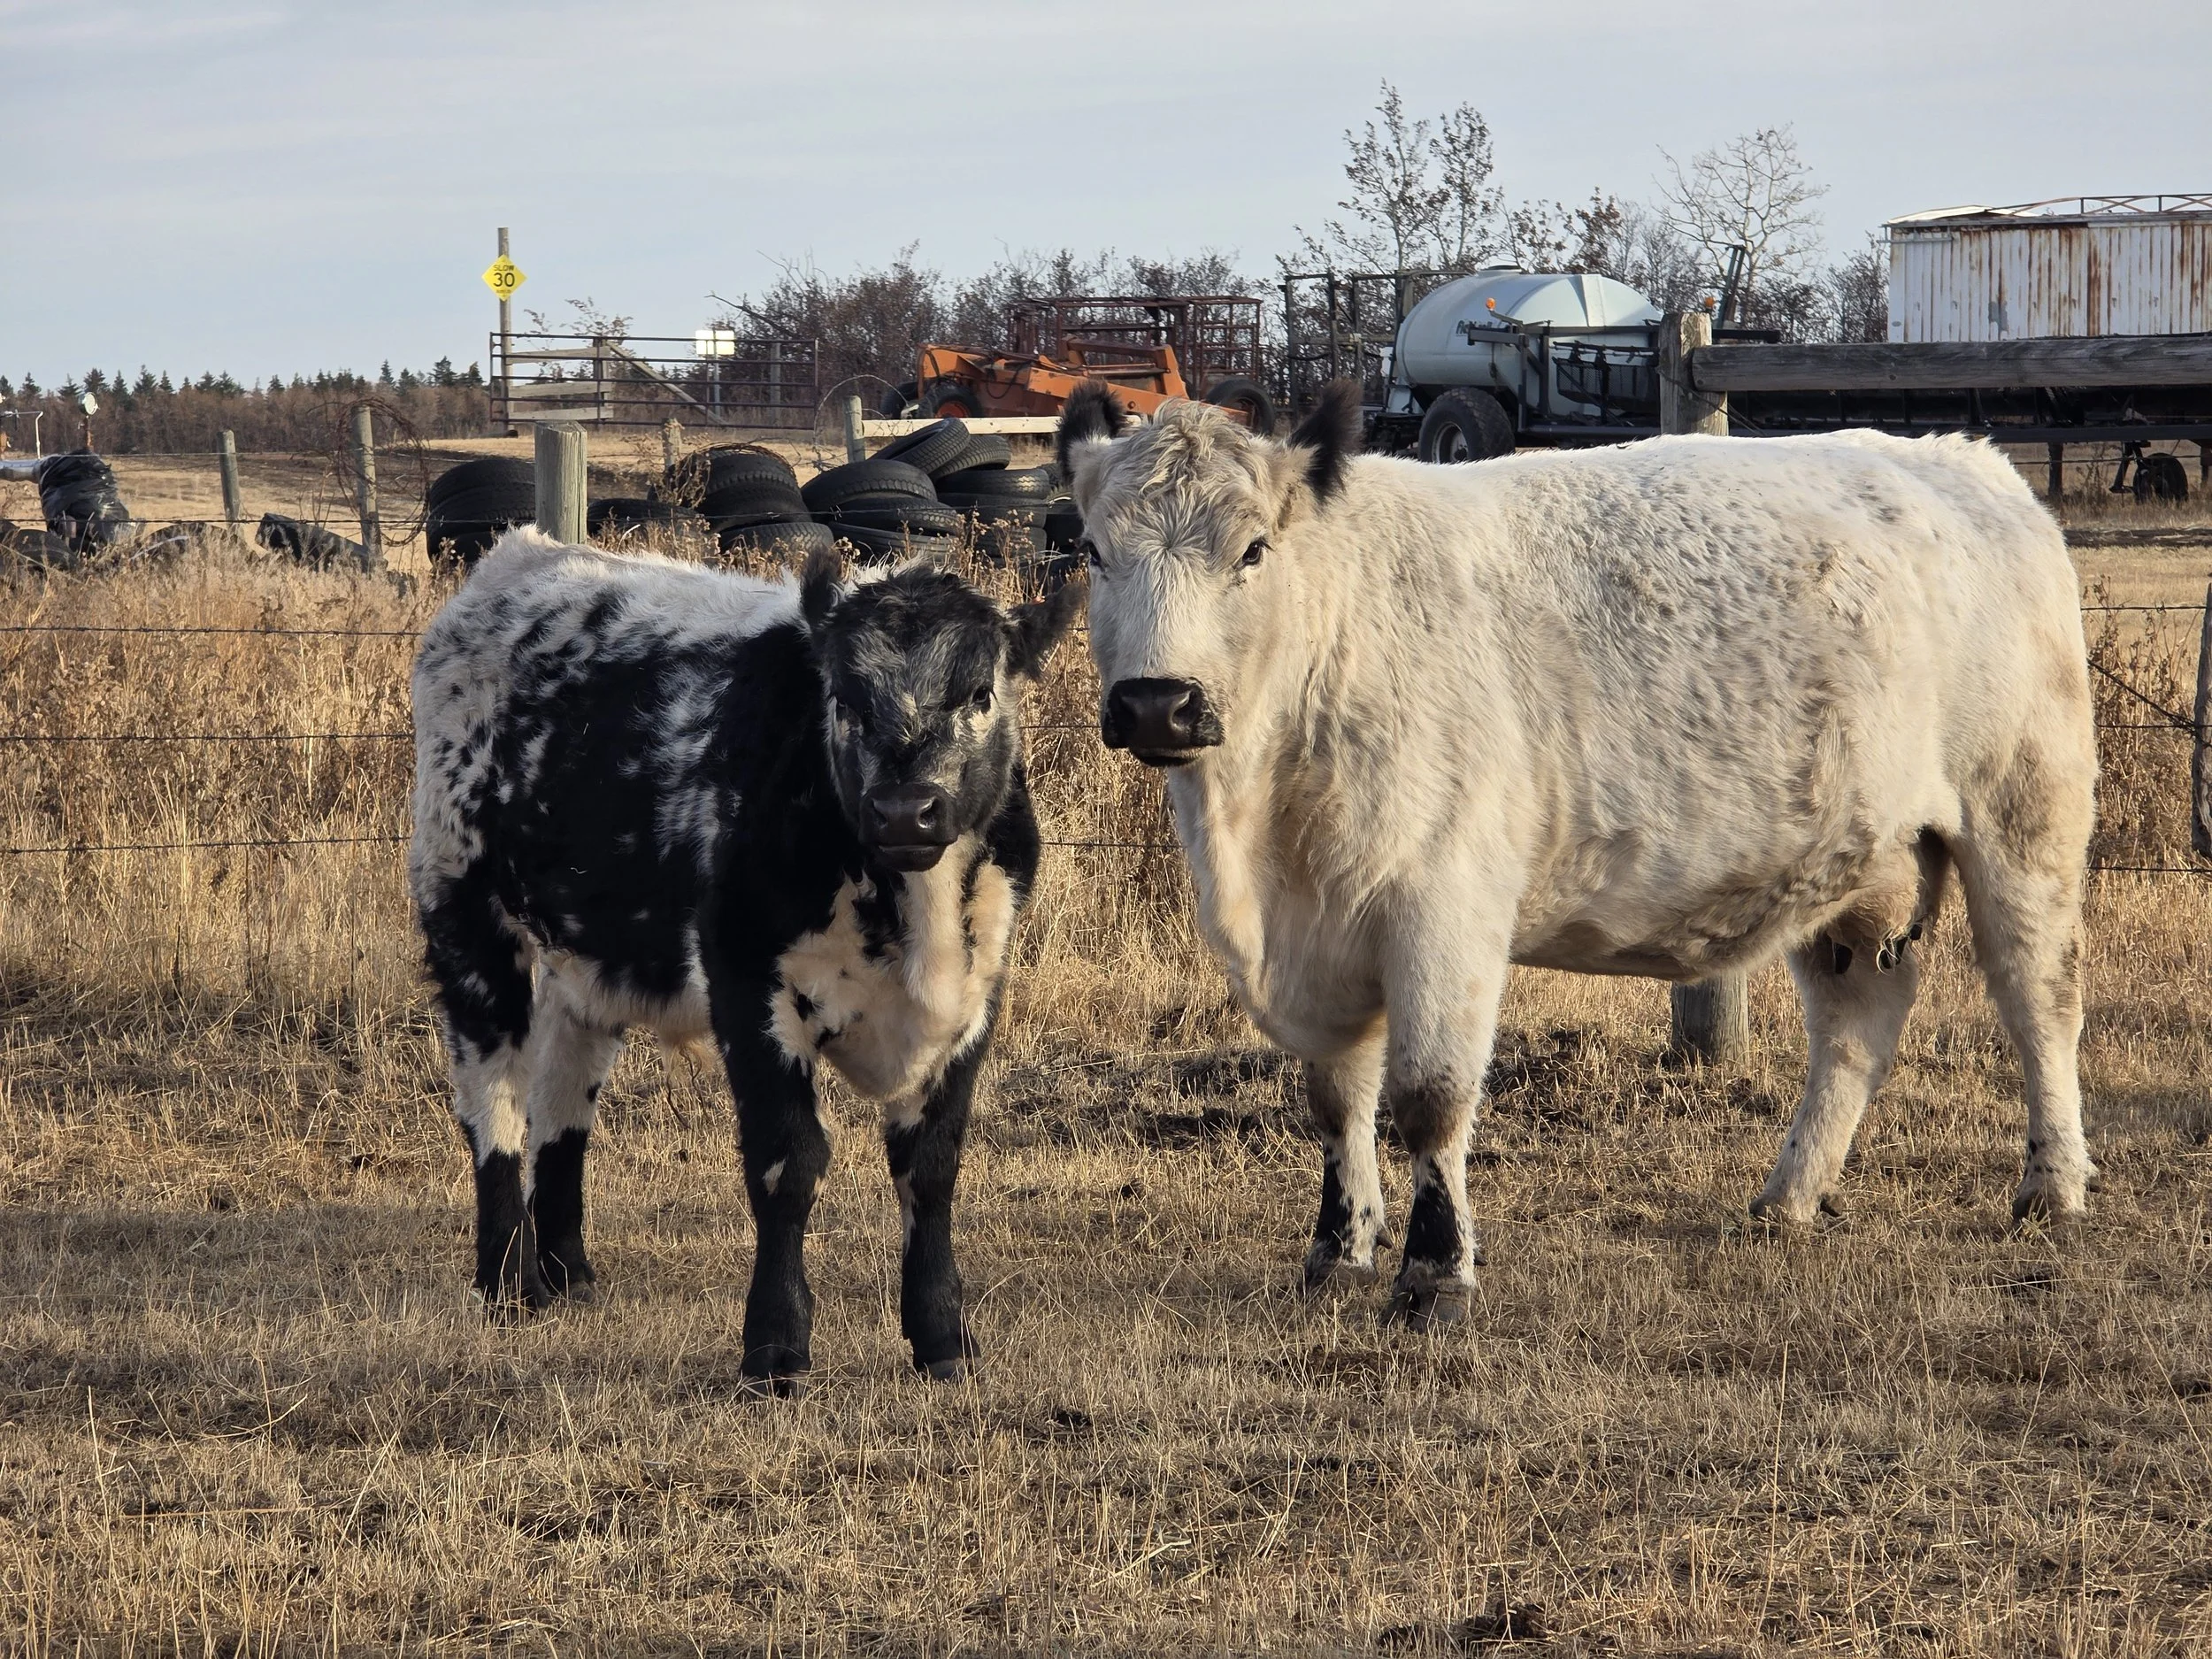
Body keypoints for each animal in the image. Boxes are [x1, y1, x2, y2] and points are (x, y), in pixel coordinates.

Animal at [408, 528, 1079, 1391]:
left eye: (980, 695)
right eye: (843, 699)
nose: (906, 810)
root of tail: (522, 555)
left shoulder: (975, 996)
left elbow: (931, 1167)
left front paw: (942, 1339)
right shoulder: (746, 982)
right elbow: (787, 1164)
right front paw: (774, 1348)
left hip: (589, 959)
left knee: (563, 1099)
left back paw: (566, 1274)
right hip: (464, 912)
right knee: (494, 1104)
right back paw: (504, 1282)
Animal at [1059, 381, 2097, 1326]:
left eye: (1252, 549)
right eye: (1092, 550)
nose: (1157, 704)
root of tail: (1968, 463)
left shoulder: (1443, 911)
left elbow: (1430, 1098)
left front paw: (1434, 1276)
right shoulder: (1319, 938)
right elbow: (1334, 1097)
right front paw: (1337, 1252)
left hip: (2022, 821)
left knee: (2039, 1000)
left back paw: (2051, 1186)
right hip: (1852, 868)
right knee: (1855, 1026)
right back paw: (1787, 1197)